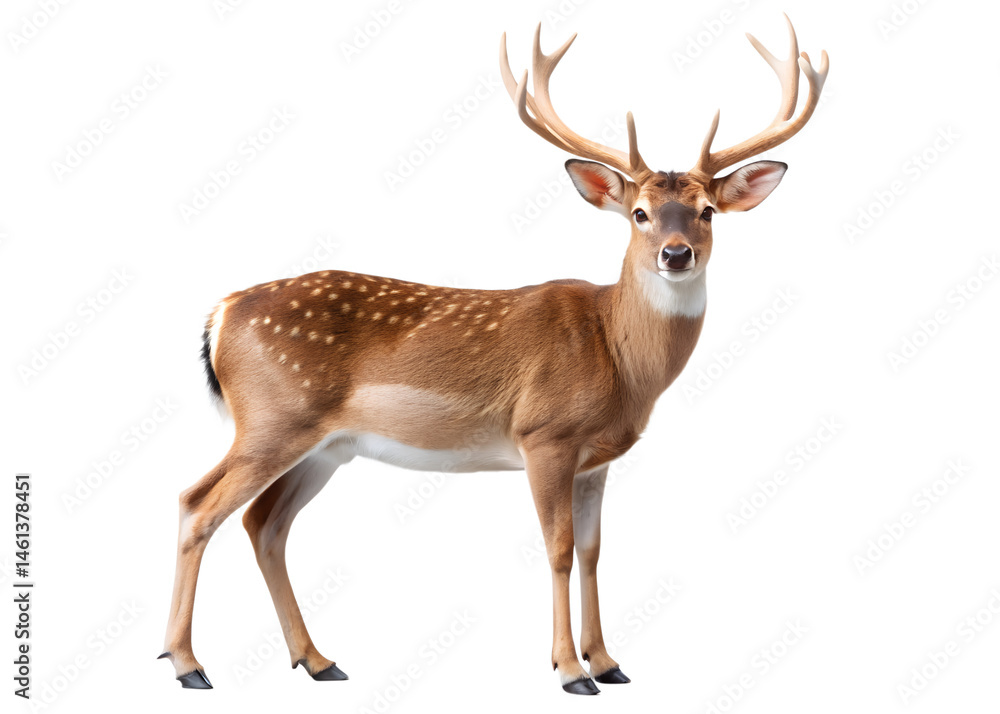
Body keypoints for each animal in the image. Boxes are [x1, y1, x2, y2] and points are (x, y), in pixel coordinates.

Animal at [159, 15, 827, 695]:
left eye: (708, 212)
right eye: (638, 213)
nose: (675, 253)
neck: (616, 355)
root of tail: (221, 313)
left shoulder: (596, 459)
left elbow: (593, 551)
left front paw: (608, 662)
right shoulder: (544, 433)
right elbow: (558, 548)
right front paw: (569, 670)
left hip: (325, 446)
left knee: (264, 524)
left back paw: (318, 660)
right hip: (273, 418)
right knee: (197, 503)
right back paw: (188, 665)